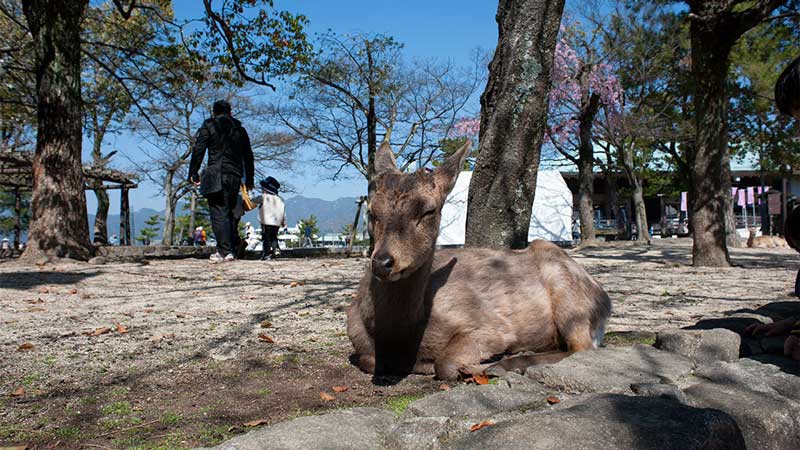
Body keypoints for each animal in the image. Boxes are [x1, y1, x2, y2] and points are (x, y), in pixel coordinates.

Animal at [346, 141, 612, 380]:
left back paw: (513, 360)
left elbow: (445, 364)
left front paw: (487, 365)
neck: (398, 340)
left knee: (582, 347)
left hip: (571, 298)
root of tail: (605, 299)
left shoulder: (489, 325)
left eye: (429, 210)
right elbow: (369, 361)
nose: (382, 262)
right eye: (372, 210)